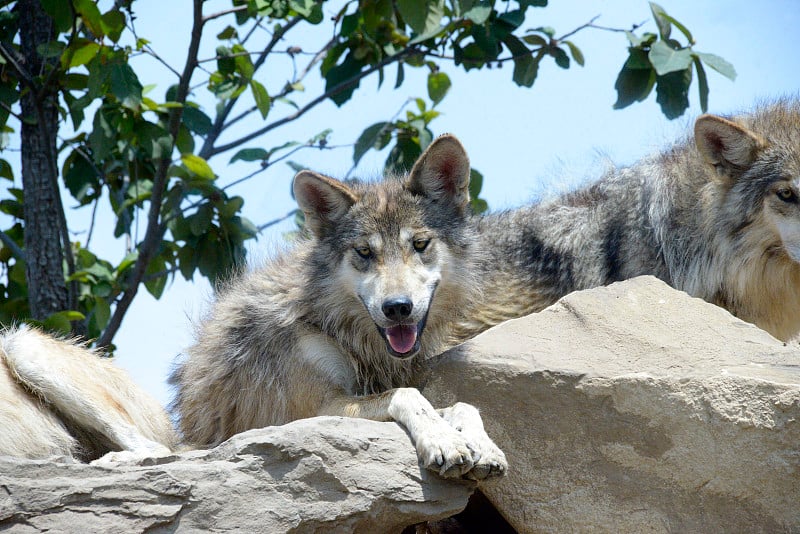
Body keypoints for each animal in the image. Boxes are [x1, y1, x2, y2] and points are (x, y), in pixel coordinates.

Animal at [170, 135, 506, 482]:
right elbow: (409, 394)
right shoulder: (319, 409)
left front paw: (484, 446)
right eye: (364, 251)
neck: (339, 326)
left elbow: (463, 404)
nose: (397, 307)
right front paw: (443, 440)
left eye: (420, 244)